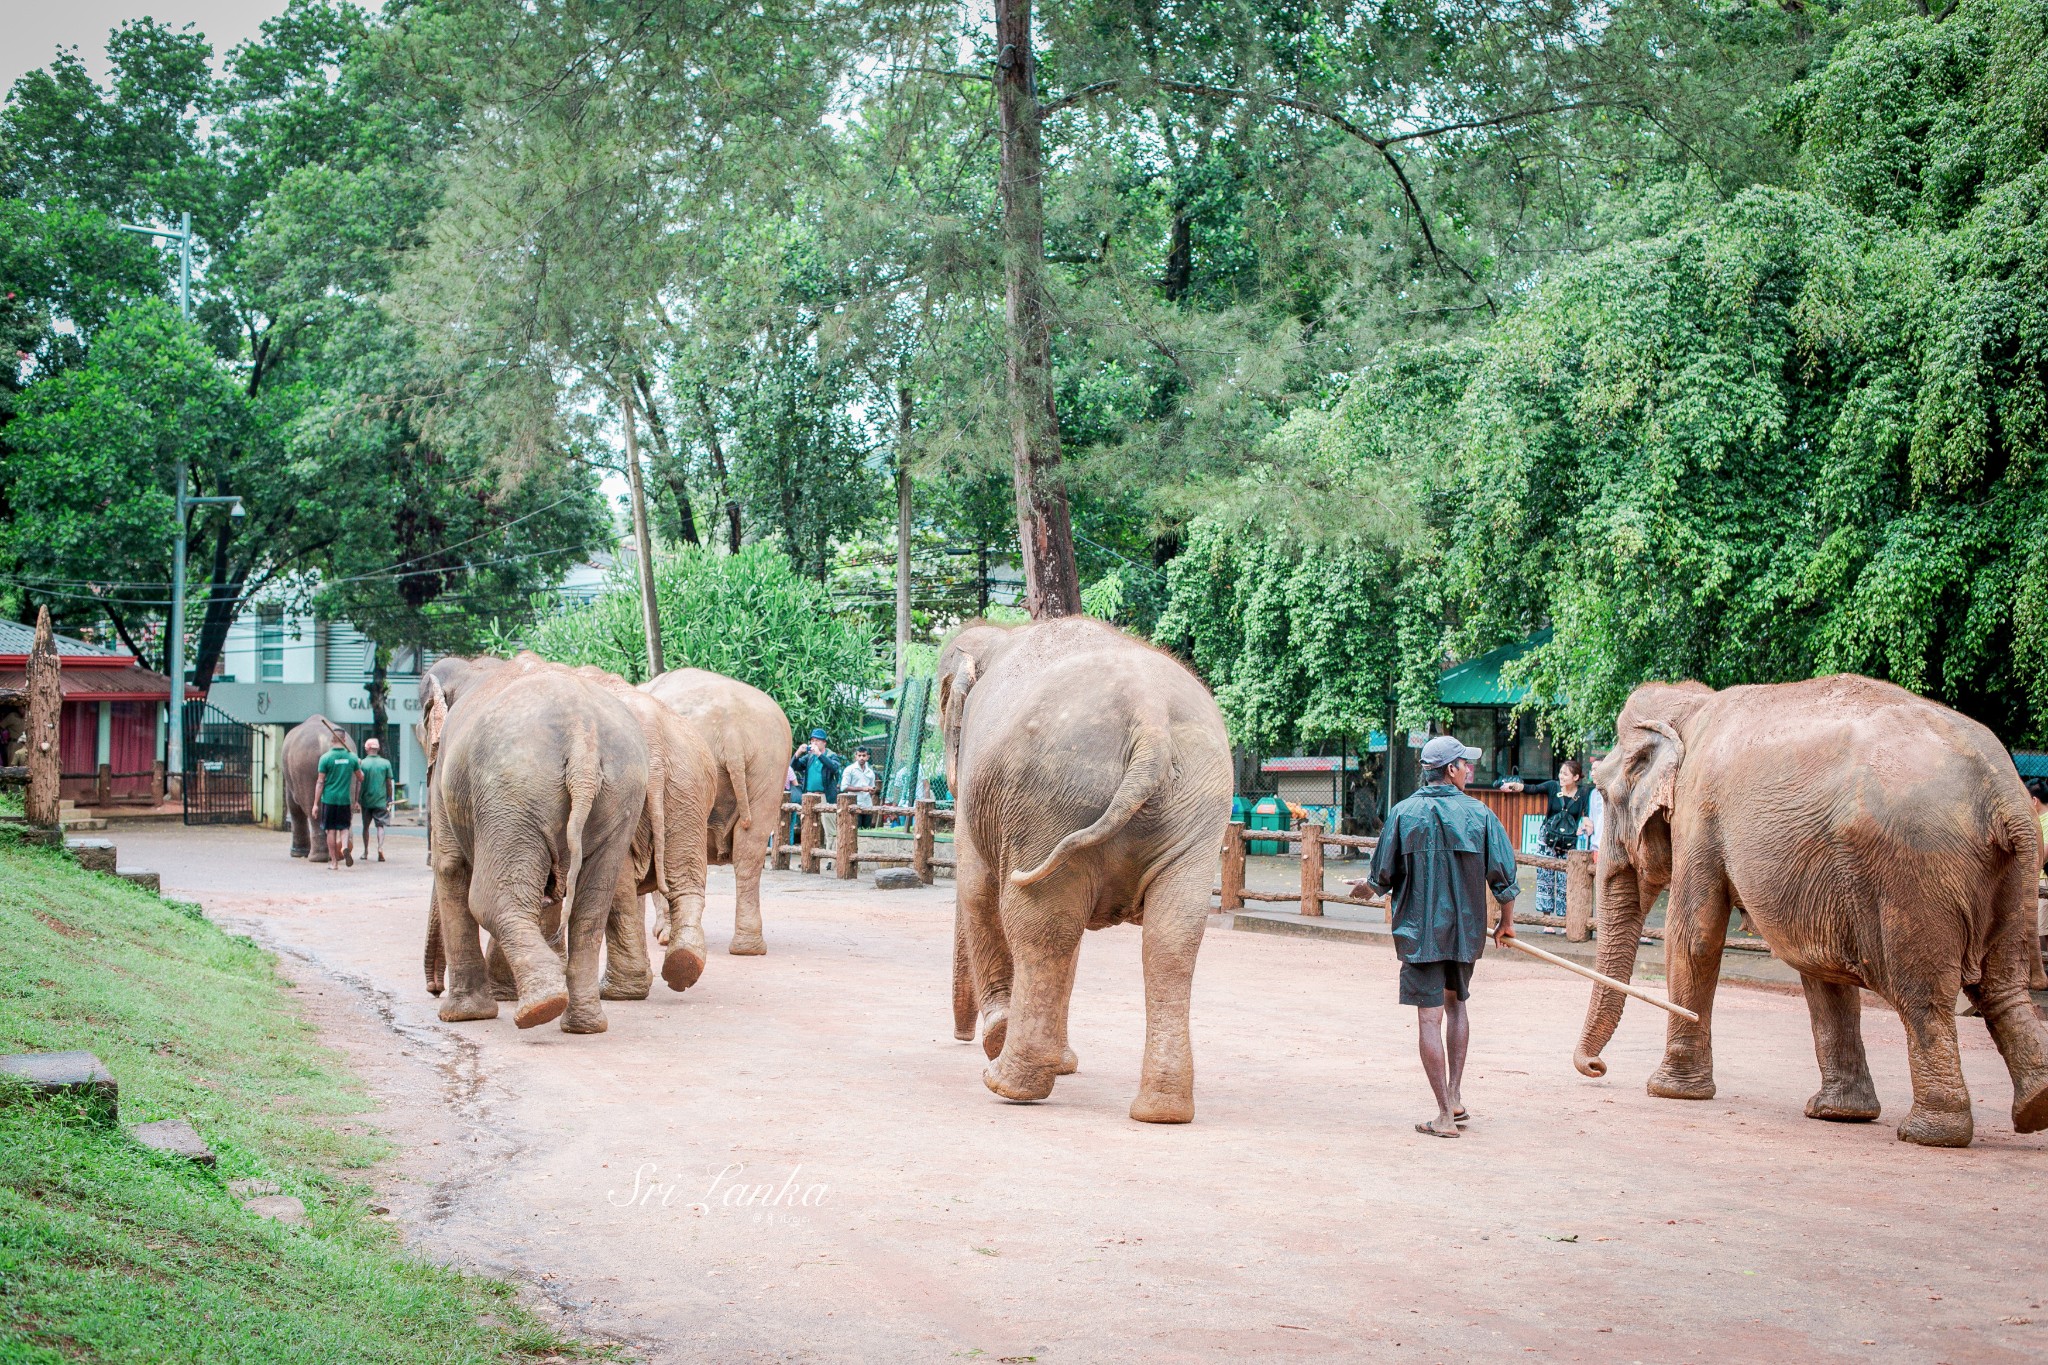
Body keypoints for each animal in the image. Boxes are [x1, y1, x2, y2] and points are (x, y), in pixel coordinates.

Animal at [284, 716, 356, 863]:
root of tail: (325, 741)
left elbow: (293, 806)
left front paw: (297, 854)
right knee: (347, 811)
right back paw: (339, 854)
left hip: (305, 769)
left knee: (313, 811)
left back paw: (316, 858)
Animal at [430, 654, 647, 1031]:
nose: (432, 990)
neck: (478, 666)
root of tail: (582, 732)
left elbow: (450, 866)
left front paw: (461, 1016)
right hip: (621, 793)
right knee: (589, 910)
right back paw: (583, 1024)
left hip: (511, 794)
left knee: (489, 900)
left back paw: (539, 1009)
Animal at [638, 671, 790, 961]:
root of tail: (732, 733)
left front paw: (660, 933)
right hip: (769, 766)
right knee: (749, 849)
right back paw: (748, 949)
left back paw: (672, 940)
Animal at [937, 618, 1228, 1121]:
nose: (962, 1036)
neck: (999, 633)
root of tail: (1151, 721)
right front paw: (1064, 1063)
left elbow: (977, 890)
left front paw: (999, 1039)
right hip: (1195, 809)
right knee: (1172, 936)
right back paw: (1162, 1112)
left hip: (1048, 801)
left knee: (1039, 925)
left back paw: (1006, 1082)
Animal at [1564, 679, 2048, 1146]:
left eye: (1602, 792)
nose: (1595, 1068)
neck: (1690, 703)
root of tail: (2004, 793)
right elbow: (1819, 966)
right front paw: (1839, 1114)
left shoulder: (1699, 814)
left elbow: (1694, 938)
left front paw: (1667, 1090)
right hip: (2008, 876)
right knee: (2001, 986)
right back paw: (2033, 1109)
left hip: (1916, 874)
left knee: (1924, 994)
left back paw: (1929, 1134)